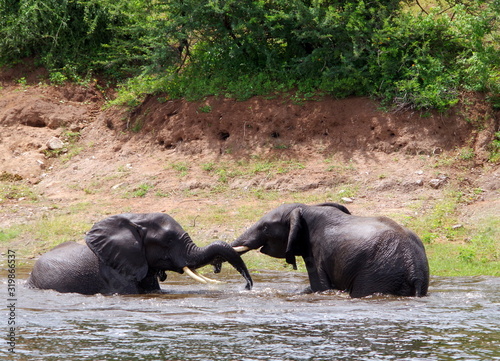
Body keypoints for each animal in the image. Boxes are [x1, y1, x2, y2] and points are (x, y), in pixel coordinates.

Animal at [230, 201, 430, 296]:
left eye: (265, 227)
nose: (247, 286)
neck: (307, 208)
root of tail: (413, 269)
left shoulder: (317, 252)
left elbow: (320, 286)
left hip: (377, 274)